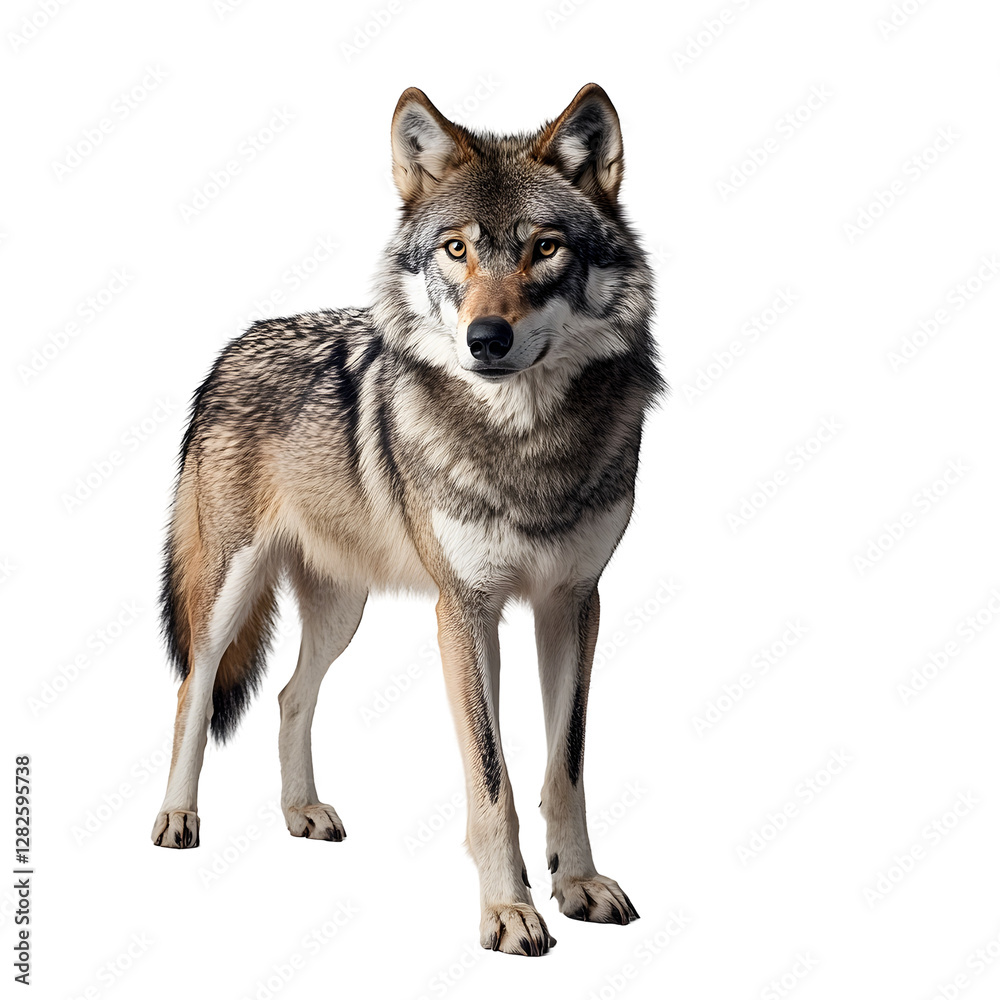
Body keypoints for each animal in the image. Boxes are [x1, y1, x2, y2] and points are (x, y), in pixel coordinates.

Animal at [151, 83, 664, 957]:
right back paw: (177, 818)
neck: (525, 448)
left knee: (288, 696)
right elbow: (492, 779)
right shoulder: (466, 610)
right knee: (194, 689)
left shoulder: (573, 603)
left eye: (546, 248)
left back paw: (302, 812)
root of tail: (232, 348)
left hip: (341, 613)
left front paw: (578, 885)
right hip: (227, 594)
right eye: (456, 249)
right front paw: (508, 911)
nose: (485, 338)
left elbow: (564, 767)